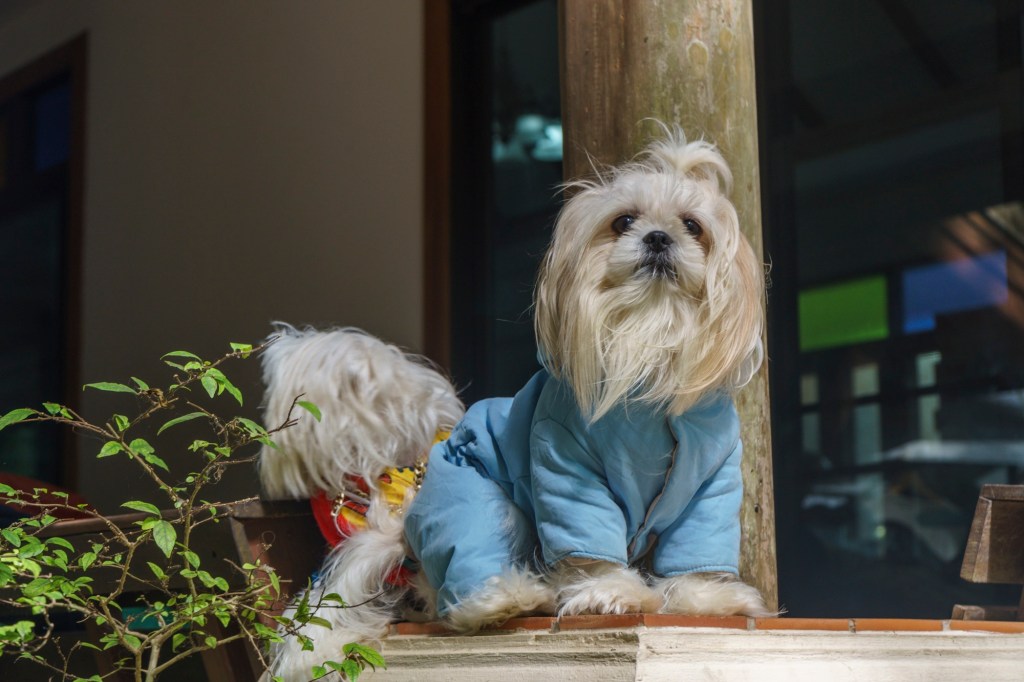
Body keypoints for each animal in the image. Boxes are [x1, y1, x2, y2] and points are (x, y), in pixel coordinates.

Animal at [259, 129, 772, 681]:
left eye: (693, 226)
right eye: (623, 221)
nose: (658, 237)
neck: (650, 343)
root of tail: (402, 526)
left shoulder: (712, 482)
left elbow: (699, 545)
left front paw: (707, 600)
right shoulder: (568, 470)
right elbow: (589, 542)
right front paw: (611, 592)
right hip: (477, 496)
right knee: (462, 581)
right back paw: (511, 597)